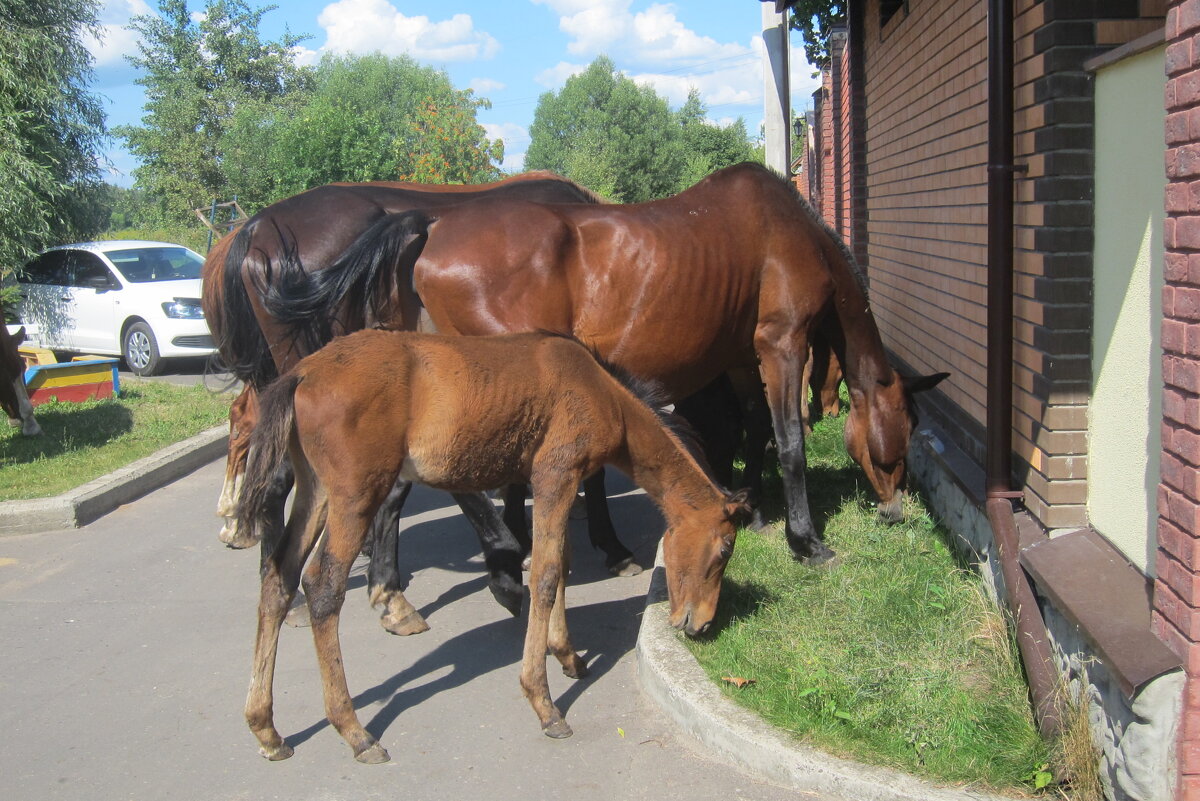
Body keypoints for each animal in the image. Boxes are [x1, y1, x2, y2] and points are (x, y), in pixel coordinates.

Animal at [236, 328, 748, 762]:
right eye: (725, 550)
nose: (701, 624)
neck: (601, 392)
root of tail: (304, 373)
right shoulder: (556, 475)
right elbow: (545, 574)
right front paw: (544, 703)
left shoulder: (557, 485)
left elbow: (561, 564)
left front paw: (567, 655)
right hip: (355, 496)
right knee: (322, 586)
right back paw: (355, 731)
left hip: (316, 492)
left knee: (278, 577)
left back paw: (267, 729)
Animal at [267, 163, 950, 563]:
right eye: (907, 429)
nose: (896, 506)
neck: (787, 227)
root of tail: (431, 227)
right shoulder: (781, 345)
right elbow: (789, 443)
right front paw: (805, 540)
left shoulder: (738, 358)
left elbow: (755, 430)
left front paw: (752, 506)